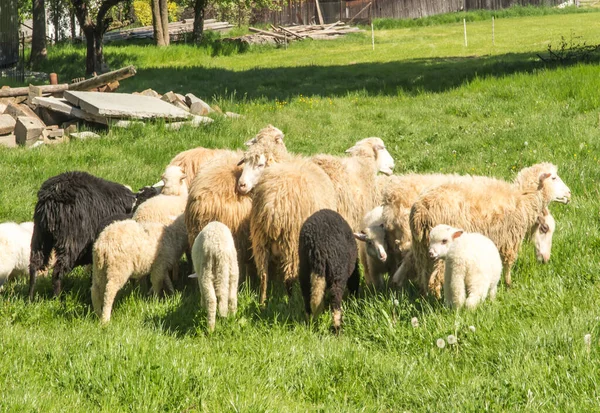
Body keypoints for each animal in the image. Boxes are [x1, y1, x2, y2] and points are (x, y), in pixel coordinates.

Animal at [28, 169, 138, 298]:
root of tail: (52, 196)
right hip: (71, 241)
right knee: (57, 271)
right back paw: (56, 298)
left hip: (40, 236)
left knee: (34, 265)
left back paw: (30, 297)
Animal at [408, 163, 572, 296]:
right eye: (554, 178)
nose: (569, 193)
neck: (523, 197)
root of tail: (420, 212)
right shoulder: (509, 239)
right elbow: (507, 264)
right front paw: (508, 285)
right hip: (441, 249)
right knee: (435, 280)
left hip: (422, 250)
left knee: (424, 278)